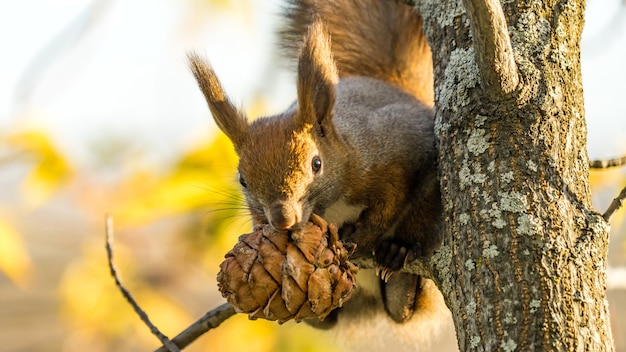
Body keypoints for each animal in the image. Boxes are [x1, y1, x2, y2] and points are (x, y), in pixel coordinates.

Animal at [188, 0, 450, 348]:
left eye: (316, 164)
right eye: (243, 180)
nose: (282, 220)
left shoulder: (395, 152)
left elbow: (389, 203)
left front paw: (362, 236)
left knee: (408, 295)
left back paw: (400, 265)